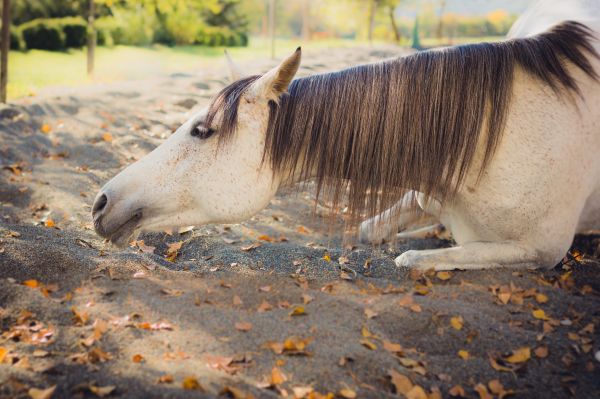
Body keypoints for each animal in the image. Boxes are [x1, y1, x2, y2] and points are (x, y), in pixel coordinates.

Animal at [91, 0, 600, 272]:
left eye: (202, 130)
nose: (100, 202)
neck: (489, 148)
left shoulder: (541, 251)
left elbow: (413, 259)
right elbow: (372, 229)